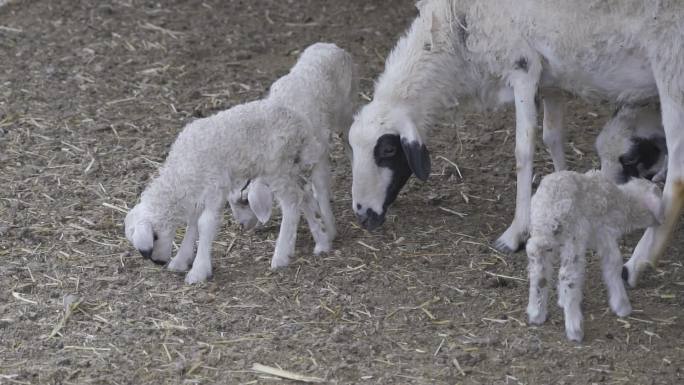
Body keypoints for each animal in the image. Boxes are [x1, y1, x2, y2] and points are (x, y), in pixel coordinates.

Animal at [125, 42, 356, 282]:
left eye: (153, 240)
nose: (158, 262)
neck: (181, 170)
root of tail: (299, 124)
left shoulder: (213, 186)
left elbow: (204, 224)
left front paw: (198, 271)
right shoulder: (200, 190)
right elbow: (192, 222)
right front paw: (181, 260)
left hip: (278, 165)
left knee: (293, 202)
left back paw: (281, 255)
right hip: (288, 166)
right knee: (304, 195)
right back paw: (321, 241)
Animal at [524, 170, 664, 340]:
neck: (624, 201)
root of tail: (550, 210)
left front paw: (561, 300)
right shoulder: (605, 232)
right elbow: (613, 263)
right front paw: (622, 305)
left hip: (541, 234)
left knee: (538, 270)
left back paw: (536, 313)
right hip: (573, 235)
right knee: (568, 275)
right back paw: (574, 328)